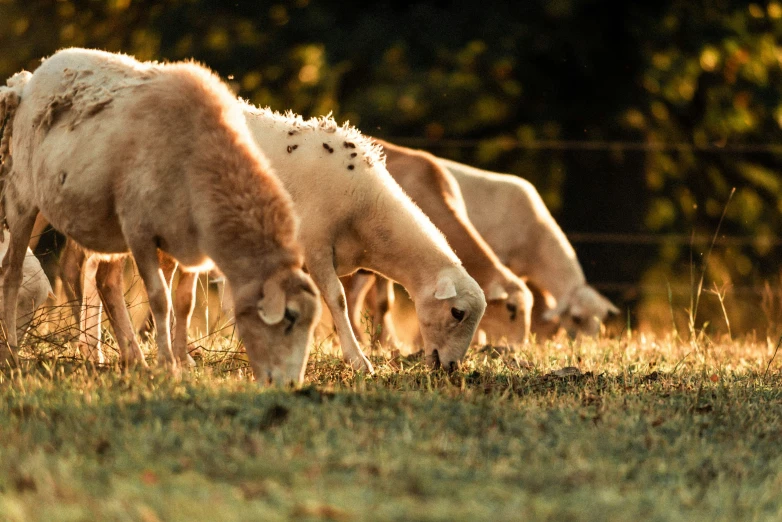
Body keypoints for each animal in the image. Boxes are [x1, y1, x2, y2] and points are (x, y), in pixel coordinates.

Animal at [0, 47, 322, 382]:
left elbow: (184, 303)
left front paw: (181, 359)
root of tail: (29, 79)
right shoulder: (140, 232)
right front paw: (168, 363)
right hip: (23, 196)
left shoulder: (188, 241)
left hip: (109, 227)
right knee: (12, 271)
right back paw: (11, 353)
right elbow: (159, 298)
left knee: (106, 282)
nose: (291, 384)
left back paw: (133, 358)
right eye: (289, 317)